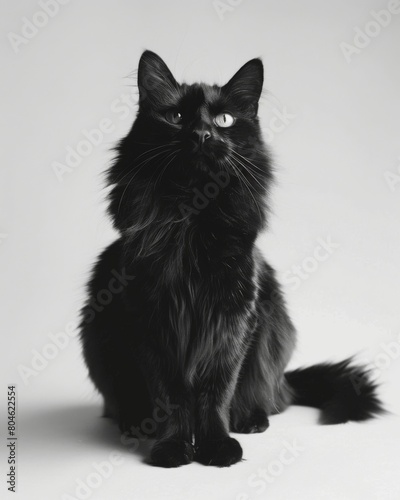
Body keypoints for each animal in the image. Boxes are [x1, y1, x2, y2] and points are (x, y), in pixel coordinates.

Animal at [79, 48, 382, 466]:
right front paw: (172, 447)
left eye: (224, 119)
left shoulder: (233, 322)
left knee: (267, 399)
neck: (190, 221)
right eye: (176, 117)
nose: (201, 134)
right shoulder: (151, 322)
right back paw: (135, 424)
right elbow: (170, 397)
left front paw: (217, 446)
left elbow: (215, 393)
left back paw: (252, 420)